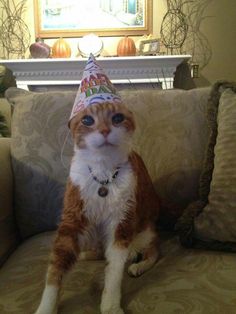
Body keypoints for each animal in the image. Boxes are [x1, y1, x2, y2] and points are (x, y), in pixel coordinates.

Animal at [35, 101, 160, 314]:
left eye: (117, 118)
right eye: (87, 120)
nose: (105, 130)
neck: (103, 170)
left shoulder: (123, 221)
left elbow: (114, 269)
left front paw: (110, 304)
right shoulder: (72, 220)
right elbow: (56, 266)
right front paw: (46, 307)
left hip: (146, 231)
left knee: (153, 252)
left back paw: (138, 265)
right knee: (99, 252)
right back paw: (86, 254)